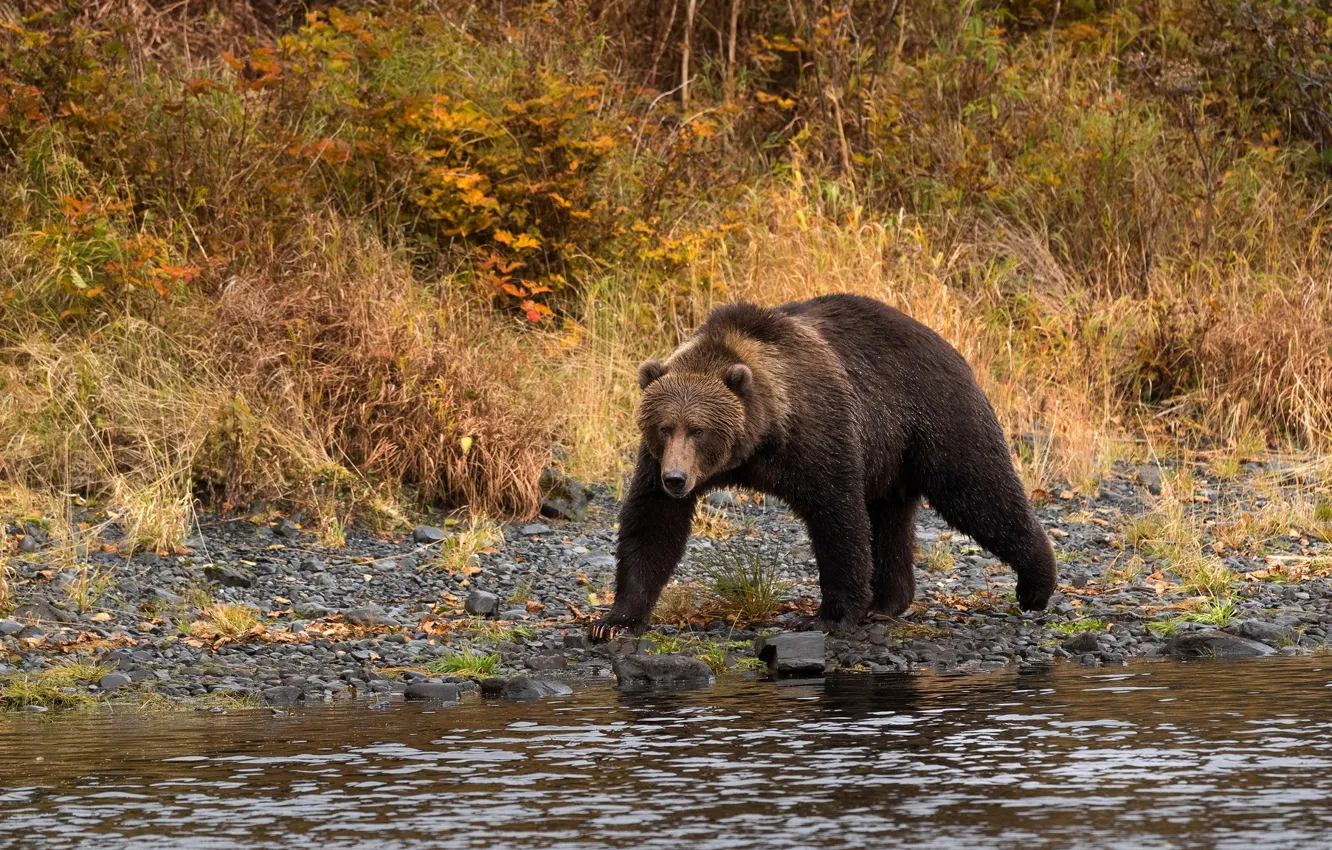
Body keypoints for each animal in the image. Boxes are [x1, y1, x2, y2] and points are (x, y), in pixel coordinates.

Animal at [588, 293, 1054, 639]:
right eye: (664, 427)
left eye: (699, 429)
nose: (676, 479)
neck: (759, 437)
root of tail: (944, 343)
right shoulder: (655, 460)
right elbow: (653, 523)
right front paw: (614, 621)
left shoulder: (818, 431)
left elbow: (837, 514)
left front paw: (829, 615)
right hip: (890, 458)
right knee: (891, 519)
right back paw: (887, 602)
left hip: (933, 414)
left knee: (978, 490)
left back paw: (1036, 585)